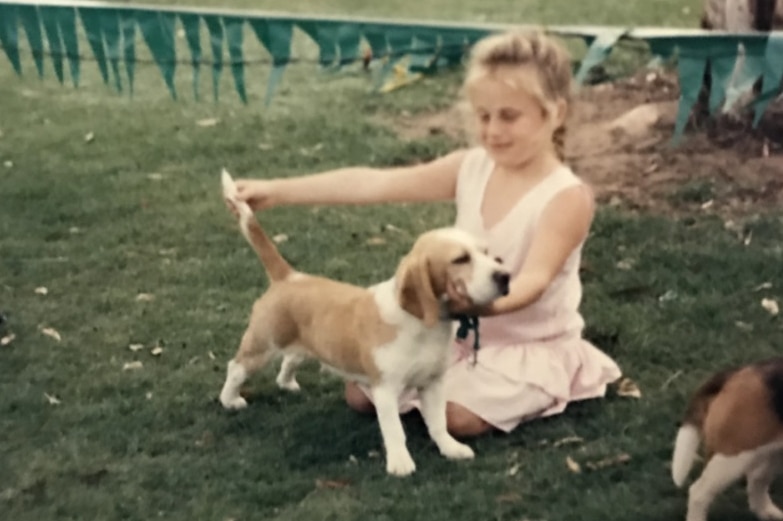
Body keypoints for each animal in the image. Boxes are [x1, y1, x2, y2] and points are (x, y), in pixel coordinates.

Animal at [217, 171, 512, 476]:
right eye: (461, 259)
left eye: (487, 253)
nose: (505, 276)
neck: (421, 325)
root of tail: (288, 276)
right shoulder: (385, 389)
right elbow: (394, 430)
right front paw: (400, 463)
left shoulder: (432, 383)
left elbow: (438, 422)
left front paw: (450, 448)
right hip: (263, 344)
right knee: (236, 367)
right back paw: (230, 400)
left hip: (305, 343)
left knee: (290, 359)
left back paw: (286, 383)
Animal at [672, 358, 783, 520]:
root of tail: (742, 371)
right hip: (732, 458)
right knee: (698, 493)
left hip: (772, 452)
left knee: (756, 478)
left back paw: (768, 513)